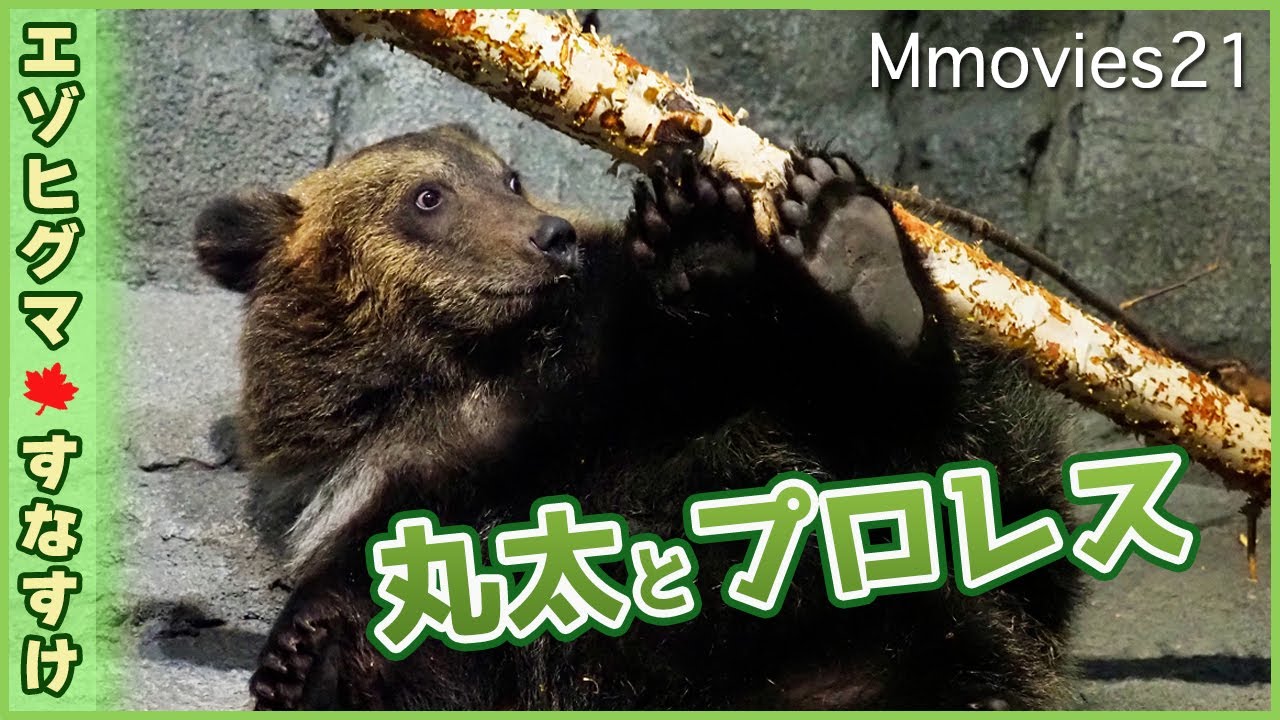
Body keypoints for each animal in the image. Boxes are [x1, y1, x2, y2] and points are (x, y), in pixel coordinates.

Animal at [194, 123, 1082, 710]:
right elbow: (423, 635)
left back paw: (852, 244)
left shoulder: (634, 384)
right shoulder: (385, 491)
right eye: (427, 196)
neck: (468, 376)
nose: (549, 235)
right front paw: (304, 657)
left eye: (509, 177)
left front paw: (699, 235)